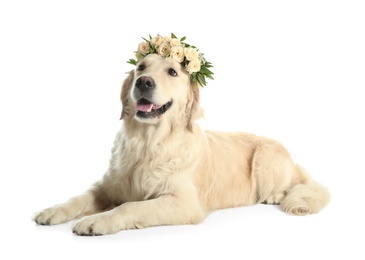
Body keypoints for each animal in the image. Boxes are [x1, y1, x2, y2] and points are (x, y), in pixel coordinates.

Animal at [33, 54, 330, 236]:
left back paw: (274, 195)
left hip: (266, 157)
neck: (148, 143)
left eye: (172, 72)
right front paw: (53, 210)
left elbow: (130, 206)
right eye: (141, 67)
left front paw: (95, 221)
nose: (143, 82)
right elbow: (79, 197)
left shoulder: (184, 203)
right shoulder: (108, 186)